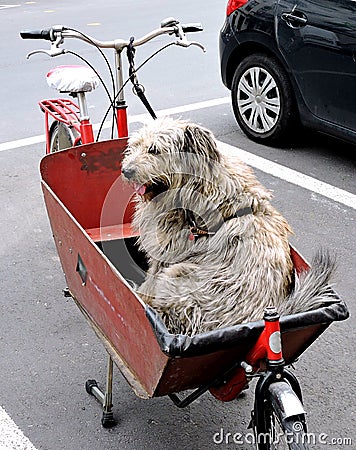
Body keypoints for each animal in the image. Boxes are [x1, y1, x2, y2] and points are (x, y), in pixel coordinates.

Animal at [121, 118, 338, 336]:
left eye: (154, 150)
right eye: (135, 146)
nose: (126, 171)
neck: (196, 184)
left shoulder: (165, 256)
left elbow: (150, 283)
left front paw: (139, 297)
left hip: (177, 276)